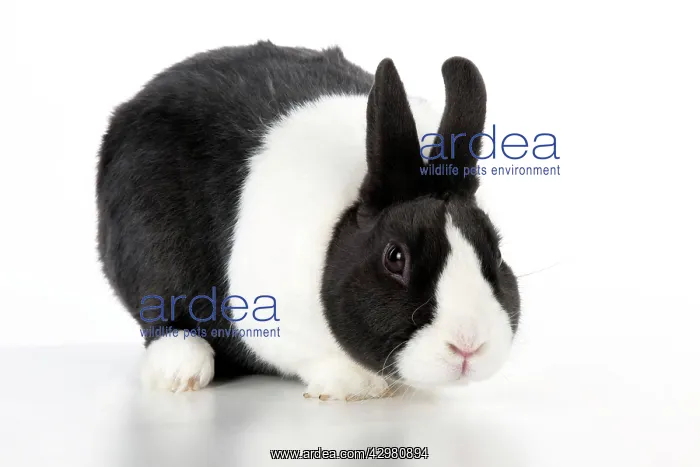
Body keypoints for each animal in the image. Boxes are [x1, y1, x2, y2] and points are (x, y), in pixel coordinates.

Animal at [96, 40, 520, 400]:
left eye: (497, 254)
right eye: (395, 257)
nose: (468, 345)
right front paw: (354, 386)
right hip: (149, 258)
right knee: (164, 319)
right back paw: (180, 373)